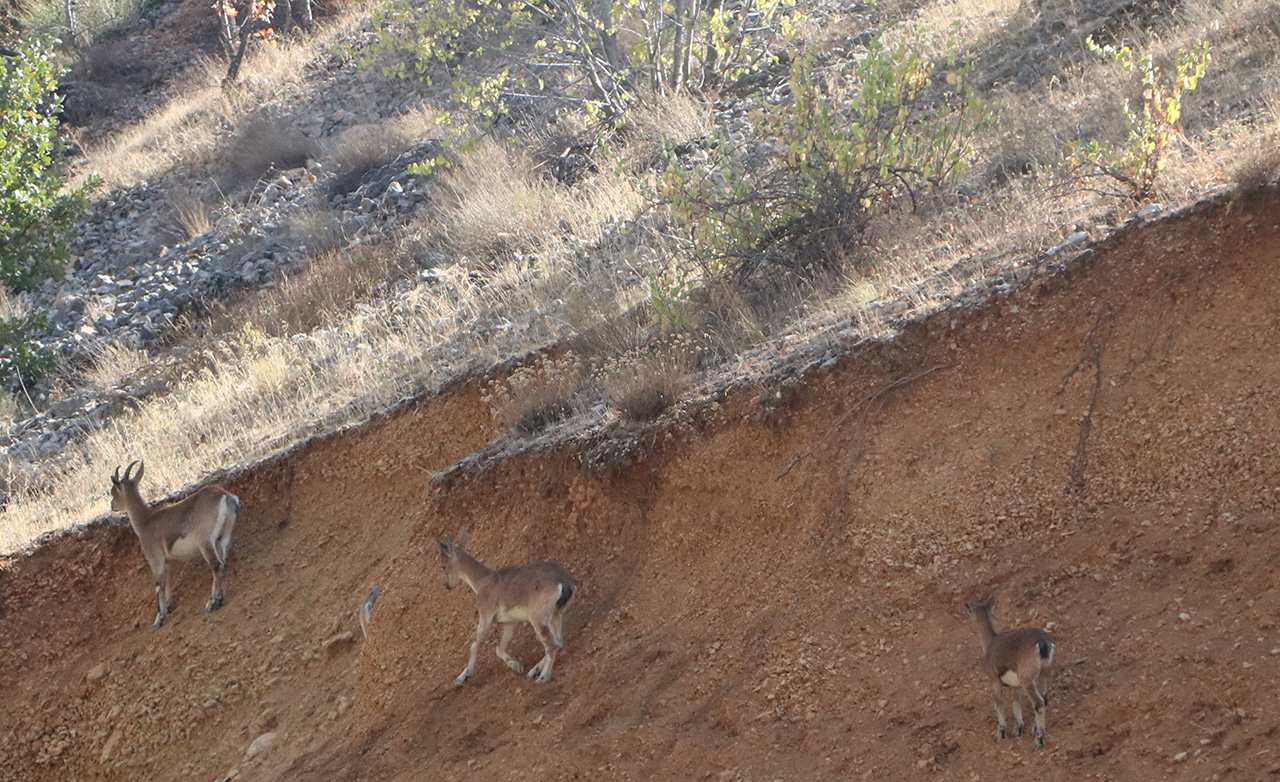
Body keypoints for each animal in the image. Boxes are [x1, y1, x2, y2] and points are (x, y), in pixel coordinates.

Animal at [109, 460, 240, 632]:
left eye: (113, 491)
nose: (112, 505)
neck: (146, 521)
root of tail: (225, 496)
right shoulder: (168, 560)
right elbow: (169, 581)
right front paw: (169, 606)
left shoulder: (155, 558)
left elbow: (159, 585)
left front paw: (159, 619)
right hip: (221, 539)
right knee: (223, 564)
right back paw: (220, 600)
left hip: (206, 543)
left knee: (217, 566)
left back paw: (212, 603)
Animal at [440, 529, 581, 686]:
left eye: (443, 566)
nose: (447, 585)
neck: (482, 581)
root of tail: (564, 584)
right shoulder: (511, 622)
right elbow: (500, 647)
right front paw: (517, 665)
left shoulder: (486, 616)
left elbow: (475, 644)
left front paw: (463, 676)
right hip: (555, 615)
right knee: (559, 642)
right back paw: (533, 671)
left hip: (538, 618)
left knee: (551, 645)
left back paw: (543, 677)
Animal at [962, 596, 1054, 747]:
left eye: (970, 609)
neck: (990, 643)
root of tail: (1042, 643)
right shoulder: (1017, 685)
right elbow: (1016, 703)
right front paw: (1018, 729)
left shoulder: (994, 679)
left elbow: (999, 703)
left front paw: (1001, 733)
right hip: (1043, 676)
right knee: (1044, 698)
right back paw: (1035, 729)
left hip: (1027, 679)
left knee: (1039, 703)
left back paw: (1039, 740)